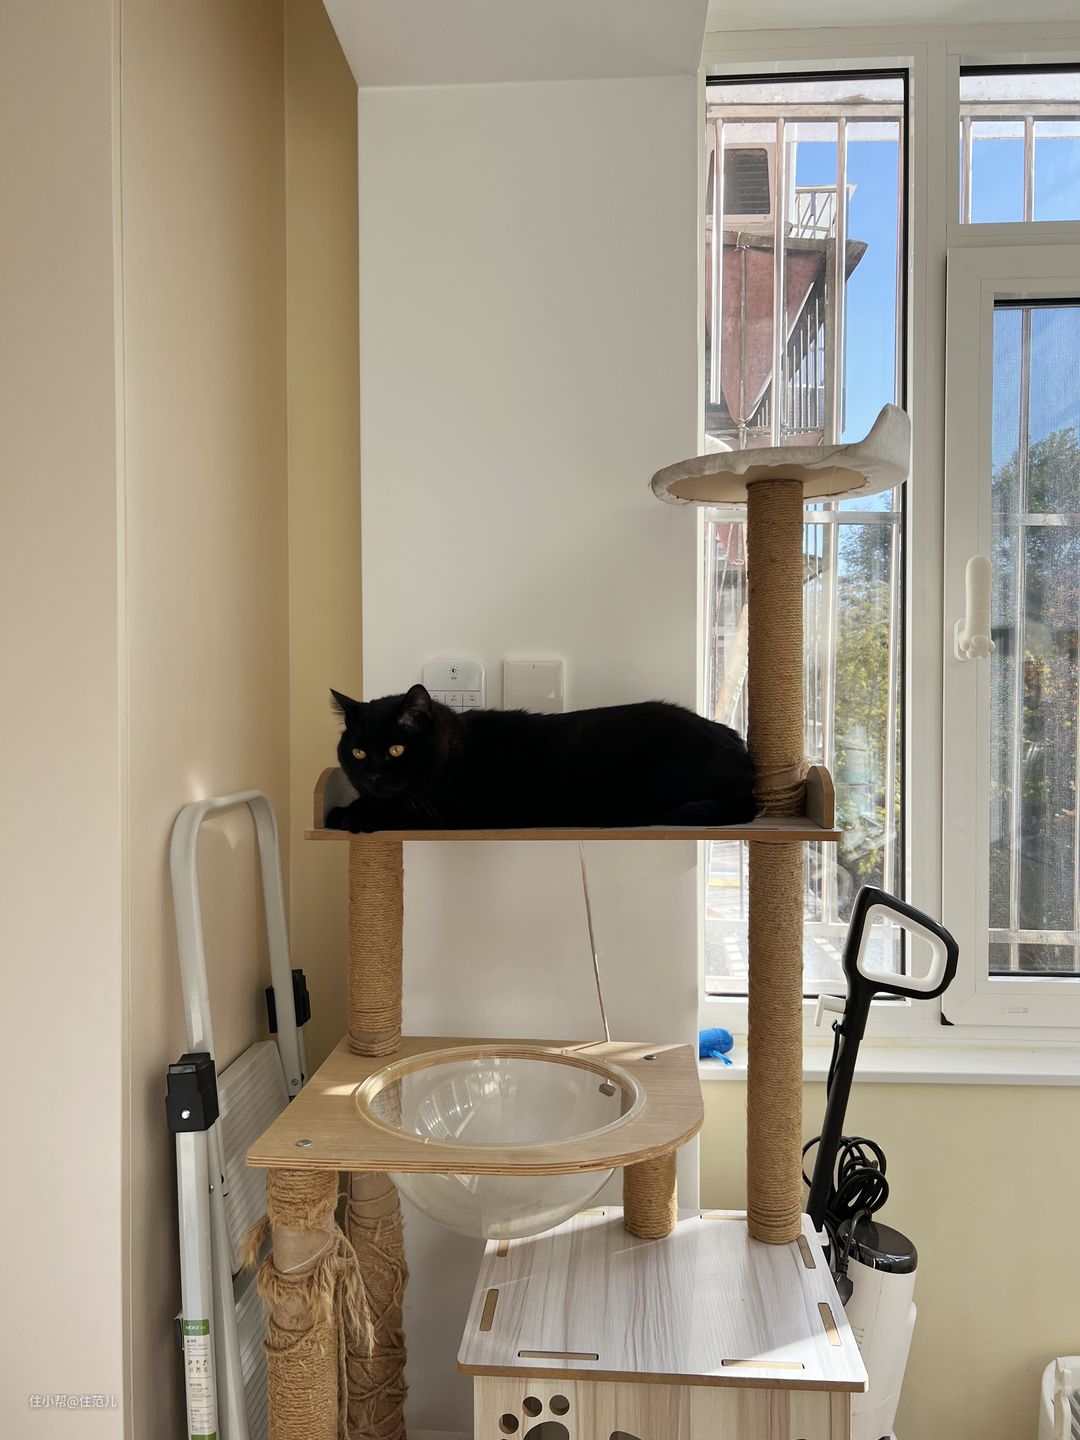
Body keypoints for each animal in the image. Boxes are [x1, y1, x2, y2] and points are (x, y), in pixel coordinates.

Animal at [324, 684, 757, 832]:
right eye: (358, 751)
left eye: (396, 750)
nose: (373, 775)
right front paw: (344, 809)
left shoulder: (444, 811)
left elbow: (393, 809)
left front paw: (353, 815)